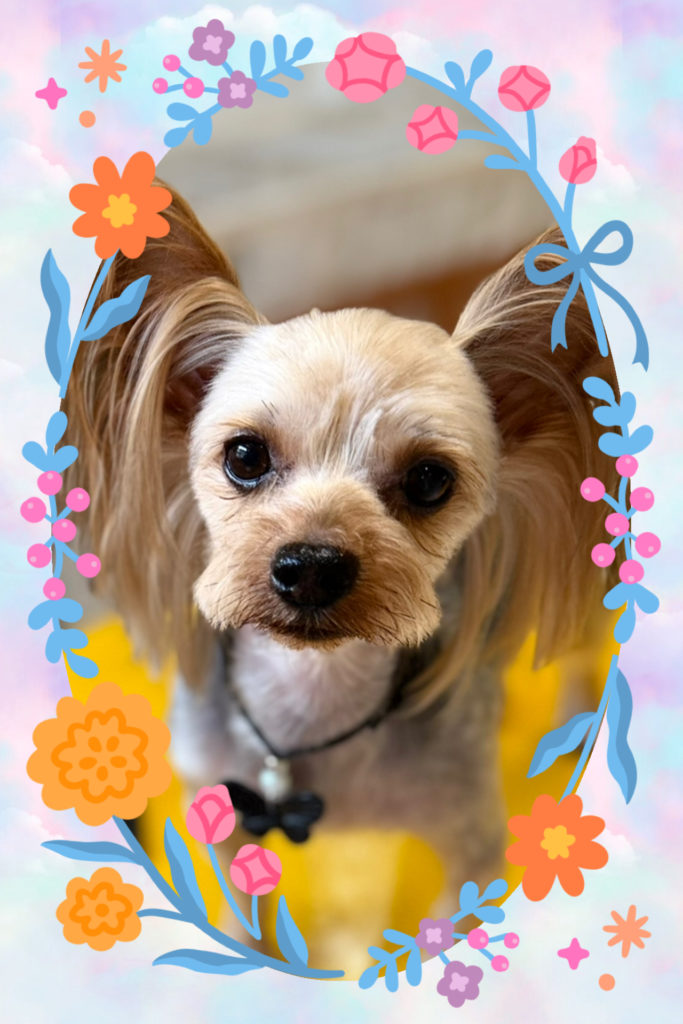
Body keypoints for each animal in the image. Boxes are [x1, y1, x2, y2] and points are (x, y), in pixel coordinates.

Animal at [64, 185, 617, 916]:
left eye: (430, 480)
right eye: (244, 456)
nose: (312, 568)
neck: (313, 691)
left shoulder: (471, 844)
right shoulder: (221, 808)